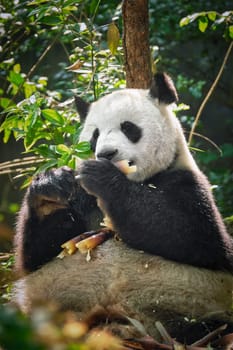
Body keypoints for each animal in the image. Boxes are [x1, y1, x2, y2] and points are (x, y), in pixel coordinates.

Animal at [12, 72, 233, 344]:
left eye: (128, 128)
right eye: (95, 135)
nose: (106, 154)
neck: (138, 180)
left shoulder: (186, 184)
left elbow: (193, 236)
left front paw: (103, 177)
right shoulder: (81, 199)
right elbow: (36, 257)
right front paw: (50, 185)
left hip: (194, 304)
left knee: (205, 325)